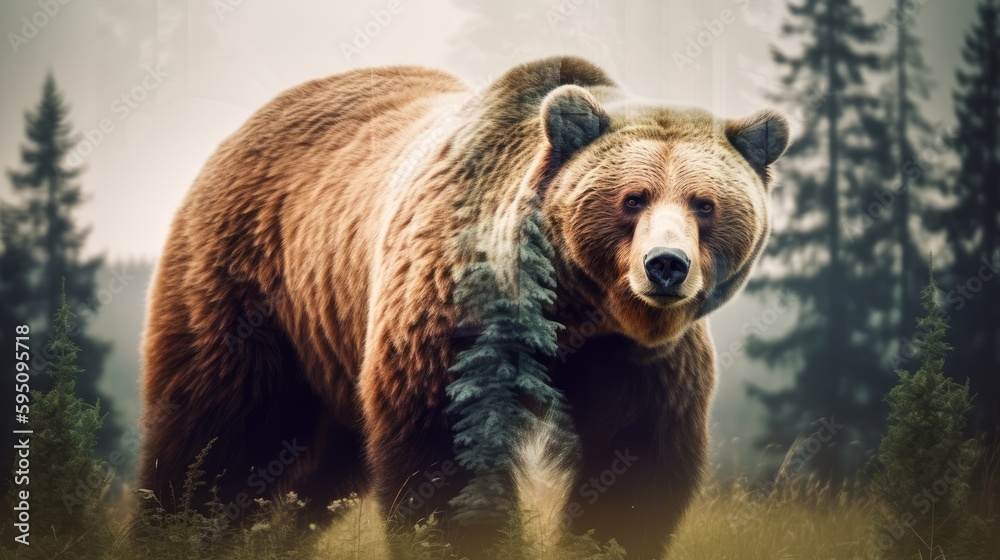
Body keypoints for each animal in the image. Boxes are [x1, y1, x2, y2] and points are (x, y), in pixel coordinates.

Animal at [139, 56, 788, 558]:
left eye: (704, 203)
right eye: (633, 198)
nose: (666, 265)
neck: (573, 306)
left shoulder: (634, 356)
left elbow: (636, 455)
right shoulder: (457, 309)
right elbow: (450, 447)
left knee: (316, 471)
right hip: (251, 287)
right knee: (219, 429)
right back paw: (174, 526)